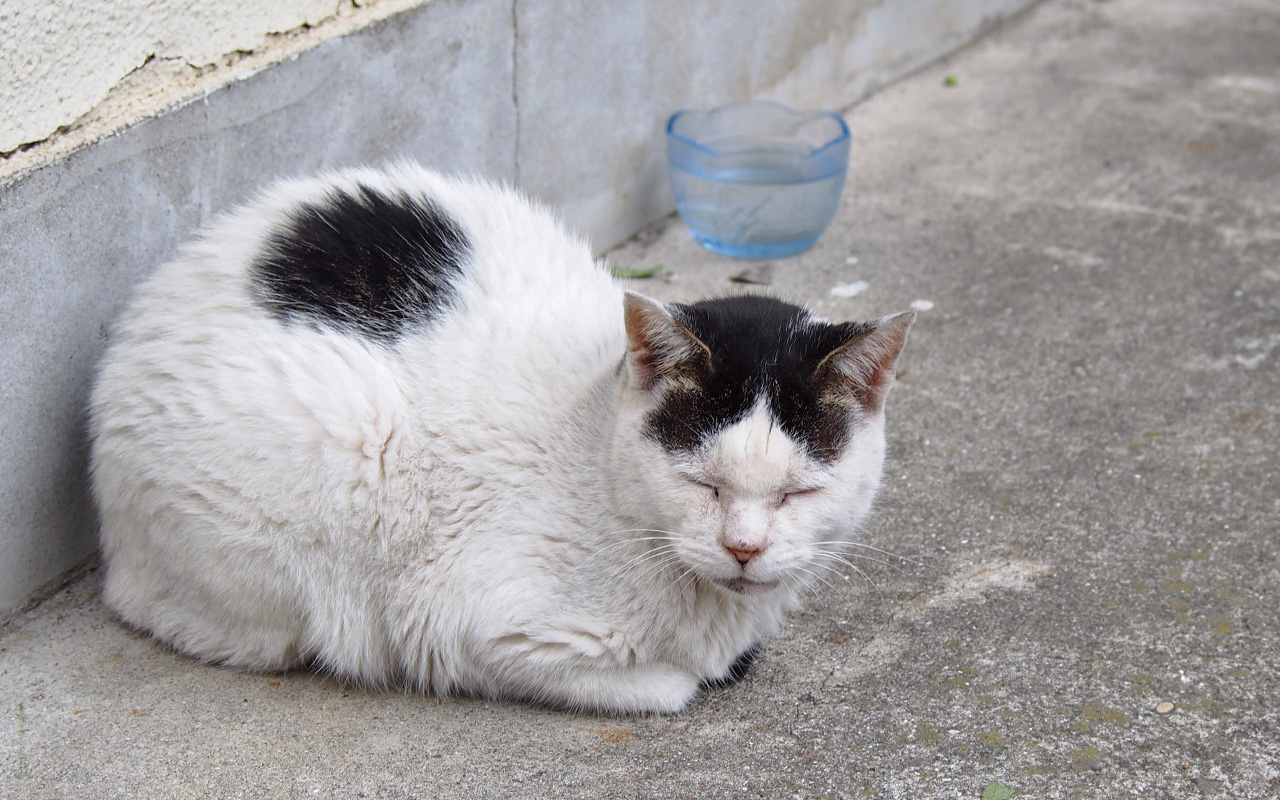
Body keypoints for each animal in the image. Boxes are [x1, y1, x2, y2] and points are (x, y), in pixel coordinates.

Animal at [87, 160, 911, 711]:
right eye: (700, 483)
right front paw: (698, 670)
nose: (744, 549)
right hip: (337, 451)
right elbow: (668, 686)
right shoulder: (473, 628)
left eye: (799, 492)